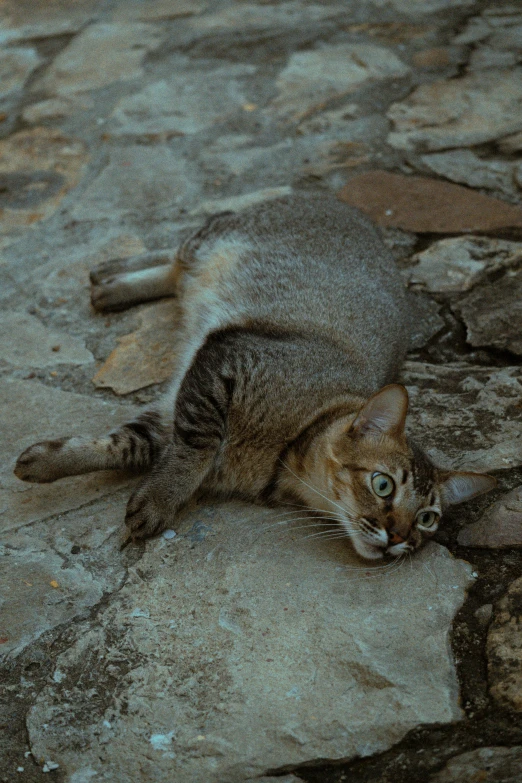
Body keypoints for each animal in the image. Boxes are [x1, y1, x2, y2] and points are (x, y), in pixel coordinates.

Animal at [13, 196, 492, 564]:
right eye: (383, 484)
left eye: (427, 519)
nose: (399, 539)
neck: (285, 454)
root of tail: (339, 202)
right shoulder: (225, 360)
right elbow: (194, 450)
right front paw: (160, 500)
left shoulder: (171, 414)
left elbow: (124, 445)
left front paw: (49, 461)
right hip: (215, 240)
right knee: (180, 249)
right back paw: (110, 276)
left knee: (176, 268)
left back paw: (109, 286)